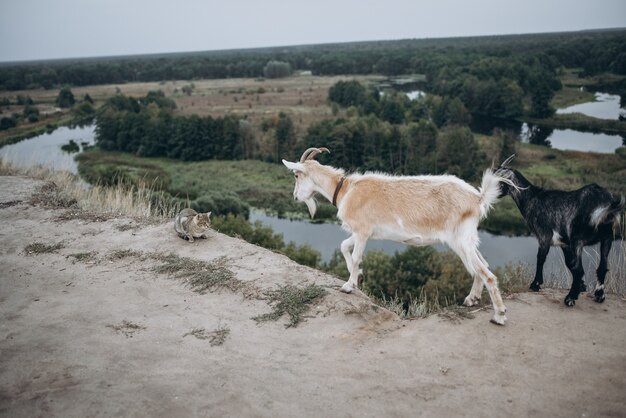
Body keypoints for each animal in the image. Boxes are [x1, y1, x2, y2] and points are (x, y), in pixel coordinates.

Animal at [280, 148, 510, 326]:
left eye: (296, 176)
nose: (295, 197)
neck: (346, 190)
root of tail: (478, 198)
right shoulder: (364, 233)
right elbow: (344, 246)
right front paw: (358, 277)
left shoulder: (362, 231)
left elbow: (355, 256)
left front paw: (348, 285)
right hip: (467, 239)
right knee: (482, 265)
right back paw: (472, 299)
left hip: (459, 240)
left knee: (487, 273)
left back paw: (499, 316)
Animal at [494, 155, 620, 306]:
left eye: (499, 181)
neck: (532, 198)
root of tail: (603, 204)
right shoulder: (564, 243)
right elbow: (568, 263)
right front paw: (582, 286)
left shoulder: (544, 236)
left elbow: (541, 258)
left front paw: (535, 284)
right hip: (607, 237)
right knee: (601, 267)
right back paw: (599, 295)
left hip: (578, 239)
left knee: (579, 269)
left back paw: (570, 298)